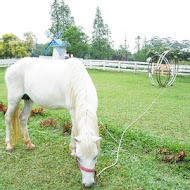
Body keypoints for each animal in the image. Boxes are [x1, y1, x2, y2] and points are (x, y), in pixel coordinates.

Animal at [5, 57, 101, 187]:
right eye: (79, 157)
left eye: (95, 156)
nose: (88, 184)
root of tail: (11, 67)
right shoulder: (73, 111)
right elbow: (74, 130)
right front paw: (72, 149)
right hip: (13, 99)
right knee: (7, 118)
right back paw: (9, 145)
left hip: (28, 100)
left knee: (23, 118)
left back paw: (29, 144)